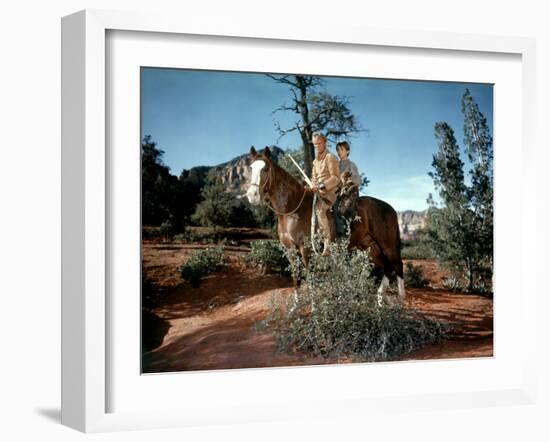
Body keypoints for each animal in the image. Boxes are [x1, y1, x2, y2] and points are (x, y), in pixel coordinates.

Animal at [246, 147, 406, 298]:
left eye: (265, 169)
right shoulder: (290, 250)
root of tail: (391, 209)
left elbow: (310, 281)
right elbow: (296, 280)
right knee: (387, 270)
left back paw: (401, 300)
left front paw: (313, 307)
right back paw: (379, 301)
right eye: (250, 168)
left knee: (398, 267)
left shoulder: (306, 249)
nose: (252, 195)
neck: (292, 209)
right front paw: (295, 307)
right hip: (371, 247)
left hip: (388, 246)